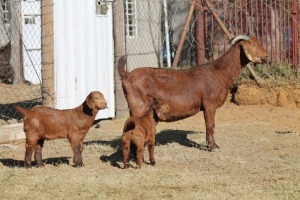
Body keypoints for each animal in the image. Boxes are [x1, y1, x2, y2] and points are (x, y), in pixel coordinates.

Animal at [117, 35, 268, 152]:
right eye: (253, 44)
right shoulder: (209, 104)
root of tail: (127, 75)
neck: (219, 72)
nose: (266, 56)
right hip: (139, 107)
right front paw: (213, 146)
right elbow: (210, 125)